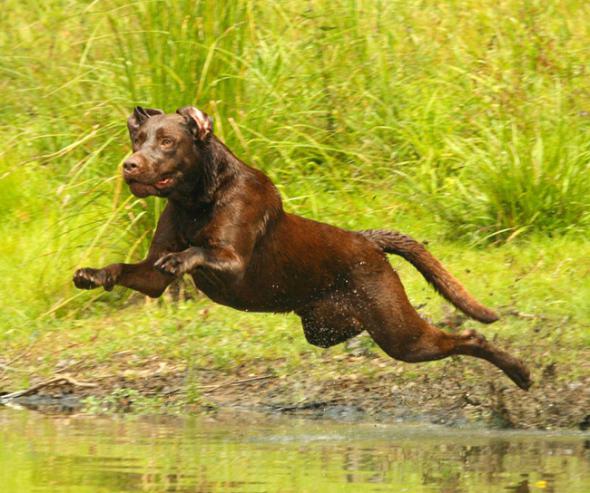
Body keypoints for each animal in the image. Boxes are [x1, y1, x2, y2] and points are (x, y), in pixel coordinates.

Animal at [73, 106, 532, 390]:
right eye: (137, 140)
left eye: (167, 142)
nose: (129, 165)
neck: (196, 199)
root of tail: (368, 239)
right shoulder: (151, 277)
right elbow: (125, 267)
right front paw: (92, 274)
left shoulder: (233, 263)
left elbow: (199, 252)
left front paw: (181, 257)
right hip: (326, 328)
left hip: (401, 335)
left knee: (468, 337)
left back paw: (521, 373)